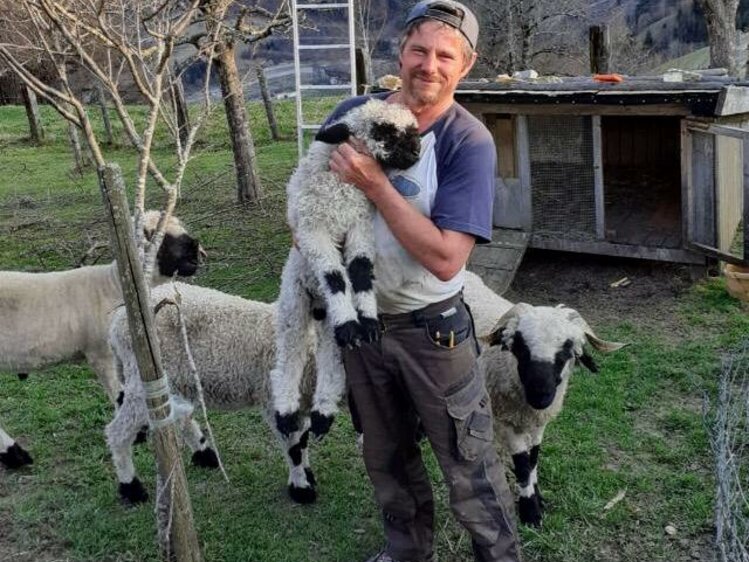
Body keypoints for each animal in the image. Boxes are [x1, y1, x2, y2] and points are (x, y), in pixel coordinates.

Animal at [104, 280, 334, 504]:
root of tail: (116, 323)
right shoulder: (274, 399)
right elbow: (293, 447)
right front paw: (301, 489)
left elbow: (302, 439)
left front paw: (307, 475)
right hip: (144, 374)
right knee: (117, 431)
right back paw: (131, 487)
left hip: (174, 379)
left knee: (178, 416)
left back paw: (204, 453)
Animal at [270, 97, 424, 438]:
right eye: (384, 133)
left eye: (412, 131)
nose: (416, 153)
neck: (342, 192)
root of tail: (317, 306)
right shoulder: (314, 232)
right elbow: (335, 277)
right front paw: (354, 320)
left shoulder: (359, 226)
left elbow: (361, 271)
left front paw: (366, 322)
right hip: (294, 301)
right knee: (290, 353)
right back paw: (286, 412)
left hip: (324, 322)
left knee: (330, 358)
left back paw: (322, 413)